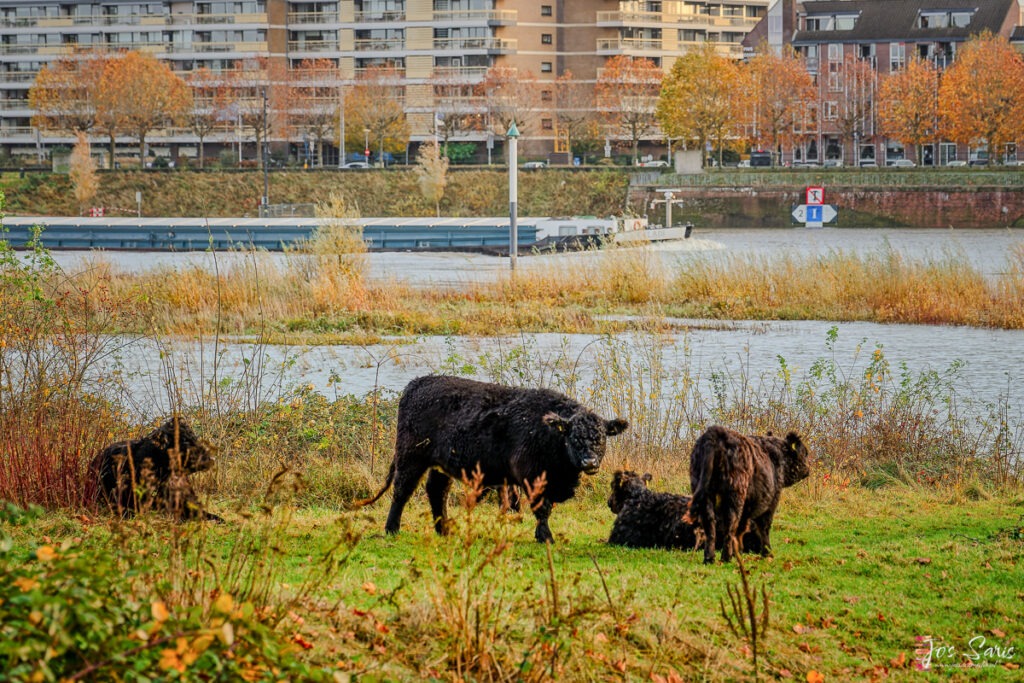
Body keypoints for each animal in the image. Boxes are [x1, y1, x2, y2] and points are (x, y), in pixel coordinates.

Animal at [360, 374, 630, 544]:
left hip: (439, 463)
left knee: (437, 491)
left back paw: (444, 530)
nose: (590, 462)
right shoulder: (531, 475)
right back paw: (392, 529)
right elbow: (541, 508)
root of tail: (417, 383)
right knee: (402, 490)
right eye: (574, 438)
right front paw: (546, 537)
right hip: (411, 455)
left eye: (602, 438)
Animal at [688, 428, 806, 565]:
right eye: (805, 453)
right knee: (730, 524)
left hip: (704, 493)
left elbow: (742, 528)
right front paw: (767, 553)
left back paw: (710, 558)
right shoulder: (771, 501)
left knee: (710, 525)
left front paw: (739, 551)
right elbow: (763, 526)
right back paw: (726, 558)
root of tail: (715, 432)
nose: (807, 469)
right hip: (735, 494)